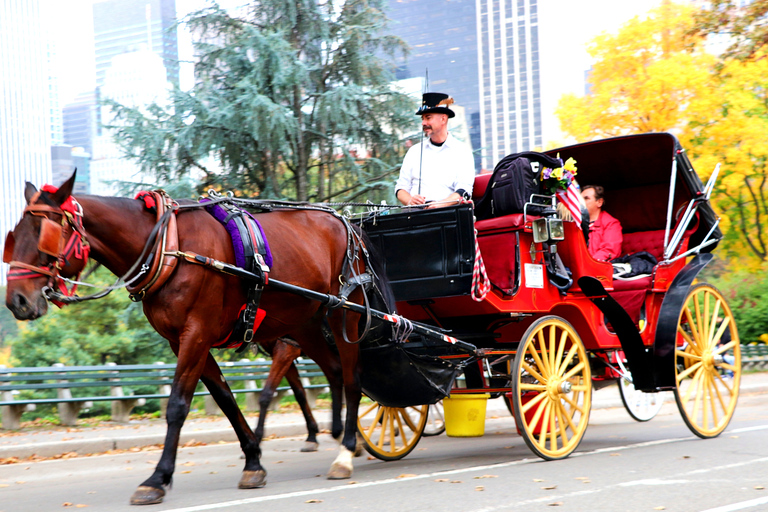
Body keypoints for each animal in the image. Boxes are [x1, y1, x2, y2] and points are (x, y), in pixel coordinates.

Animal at [3, 174, 388, 506]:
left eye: (44, 233)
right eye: (14, 235)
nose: (16, 301)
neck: (169, 247)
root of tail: (347, 223)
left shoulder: (196, 335)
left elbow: (177, 405)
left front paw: (157, 479)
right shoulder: (184, 340)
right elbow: (225, 399)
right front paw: (253, 460)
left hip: (345, 314)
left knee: (352, 379)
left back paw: (346, 451)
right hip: (306, 322)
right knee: (335, 370)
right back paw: (350, 440)